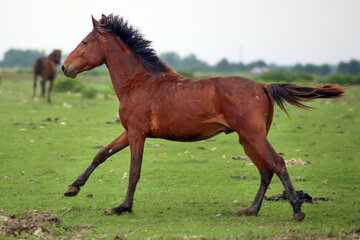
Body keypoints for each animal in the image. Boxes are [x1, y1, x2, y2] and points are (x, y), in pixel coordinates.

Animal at [62, 14, 346, 221]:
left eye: (85, 42)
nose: (66, 67)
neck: (139, 83)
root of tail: (262, 86)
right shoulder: (129, 131)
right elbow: (101, 154)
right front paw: (72, 188)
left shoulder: (137, 133)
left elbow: (134, 171)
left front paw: (122, 207)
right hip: (247, 139)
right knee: (266, 170)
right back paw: (250, 210)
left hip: (253, 136)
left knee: (277, 163)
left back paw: (297, 211)